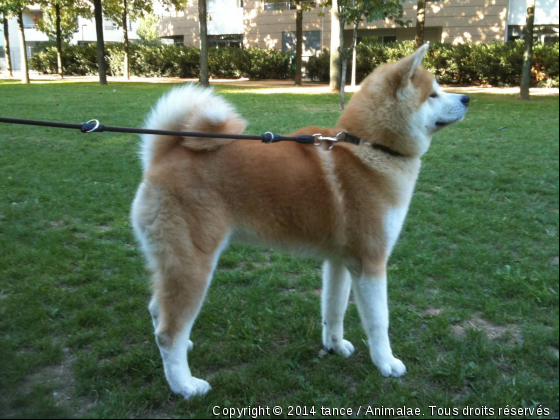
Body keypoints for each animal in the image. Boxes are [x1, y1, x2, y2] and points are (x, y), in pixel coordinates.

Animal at [133, 44, 470, 398]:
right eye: (433, 94)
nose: (466, 98)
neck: (368, 148)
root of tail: (163, 155)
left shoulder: (340, 261)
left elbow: (333, 309)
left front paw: (335, 346)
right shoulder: (371, 261)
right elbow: (380, 321)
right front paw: (387, 363)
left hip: (173, 261)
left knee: (157, 309)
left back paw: (184, 351)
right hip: (193, 264)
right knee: (168, 332)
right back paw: (184, 385)